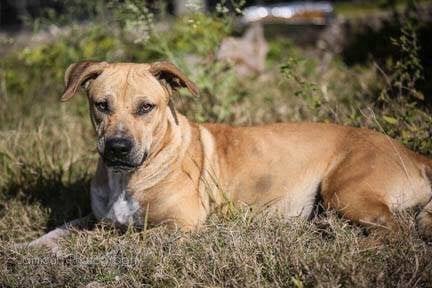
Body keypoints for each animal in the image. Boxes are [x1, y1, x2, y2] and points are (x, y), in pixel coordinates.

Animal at [27, 60, 432, 250]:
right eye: (101, 105)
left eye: (146, 107)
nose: (117, 147)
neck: (129, 176)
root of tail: (412, 153)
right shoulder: (96, 217)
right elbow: (60, 230)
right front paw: (28, 250)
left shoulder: (179, 226)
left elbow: (115, 238)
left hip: (346, 191)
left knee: (399, 232)